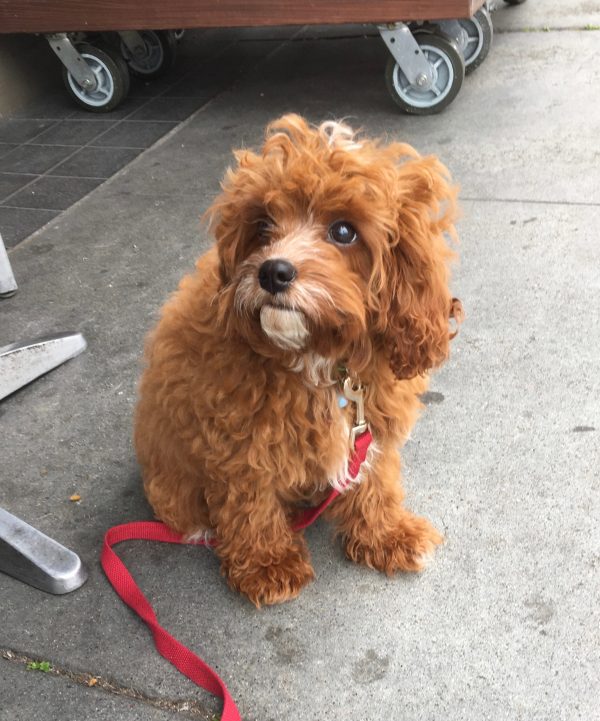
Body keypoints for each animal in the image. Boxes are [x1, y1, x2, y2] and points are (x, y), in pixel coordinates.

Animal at [135, 114, 464, 608]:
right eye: (263, 224)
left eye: (344, 231)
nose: (273, 271)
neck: (319, 358)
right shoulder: (239, 444)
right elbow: (250, 503)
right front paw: (268, 565)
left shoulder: (368, 424)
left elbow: (375, 478)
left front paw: (386, 535)